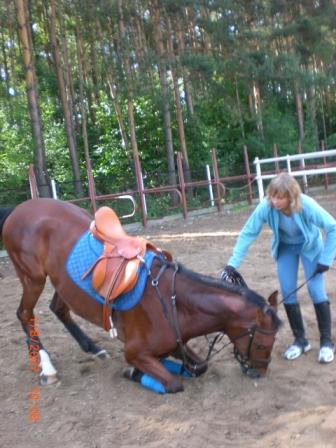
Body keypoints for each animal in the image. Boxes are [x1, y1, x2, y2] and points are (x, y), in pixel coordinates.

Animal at [0, 200, 280, 392]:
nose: (260, 372)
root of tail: (20, 208)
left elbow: (199, 366)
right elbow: (173, 383)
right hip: (33, 278)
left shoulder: (176, 343)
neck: (173, 301)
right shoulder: (135, 351)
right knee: (24, 313)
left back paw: (92, 348)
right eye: (262, 344)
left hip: (63, 281)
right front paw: (134, 373)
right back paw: (46, 366)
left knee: (58, 308)